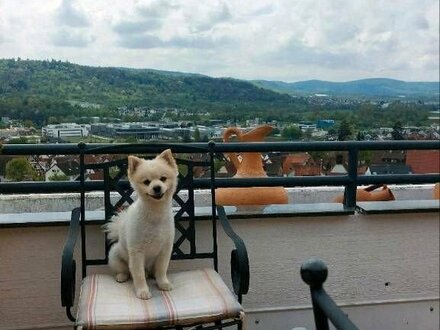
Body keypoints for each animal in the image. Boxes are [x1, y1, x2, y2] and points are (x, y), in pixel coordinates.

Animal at [104, 150, 178, 300]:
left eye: (163, 178)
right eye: (146, 182)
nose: (157, 187)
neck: (155, 214)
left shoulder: (165, 250)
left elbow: (161, 270)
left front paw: (163, 283)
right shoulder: (137, 252)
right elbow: (138, 275)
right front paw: (142, 291)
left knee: (151, 272)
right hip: (115, 255)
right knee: (126, 270)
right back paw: (122, 276)